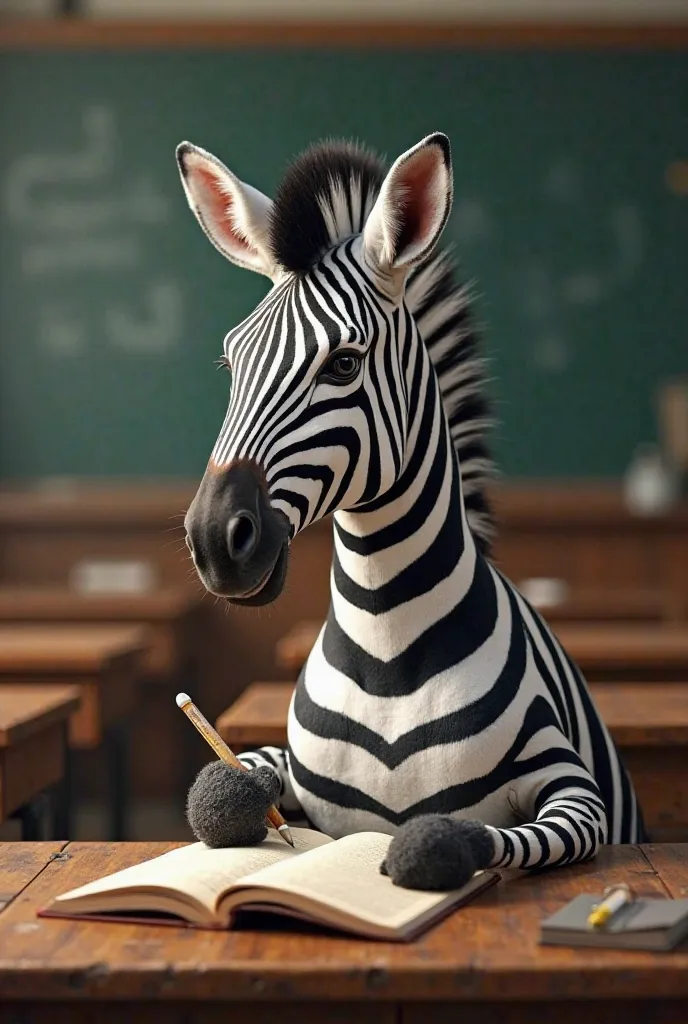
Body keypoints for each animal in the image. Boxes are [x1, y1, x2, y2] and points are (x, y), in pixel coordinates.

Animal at [176, 134, 647, 888]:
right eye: (229, 364)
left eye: (343, 364)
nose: (217, 542)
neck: (386, 644)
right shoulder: (281, 765)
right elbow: (221, 786)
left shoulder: (571, 785)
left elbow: (497, 835)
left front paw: (422, 850)